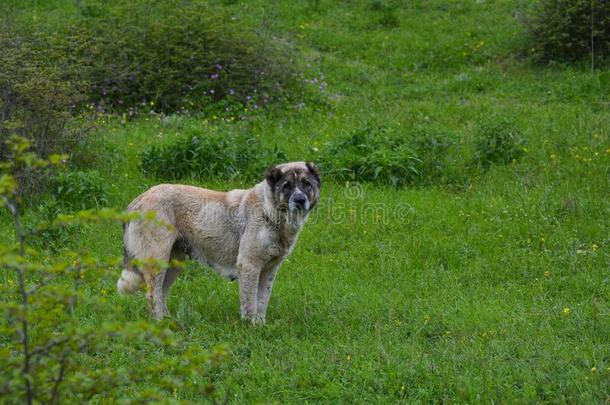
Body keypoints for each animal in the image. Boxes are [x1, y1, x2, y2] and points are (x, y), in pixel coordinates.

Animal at [116, 161, 320, 322]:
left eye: (306, 184)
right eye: (286, 186)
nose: (300, 199)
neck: (270, 211)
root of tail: (137, 201)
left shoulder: (269, 270)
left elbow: (262, 301)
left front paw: (260, 324)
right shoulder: (249, 265)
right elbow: (250, 302)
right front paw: (251, 327)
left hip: (174, 263)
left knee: (161, 293)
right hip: (157, 262)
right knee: (153, 295)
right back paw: (159, 324)